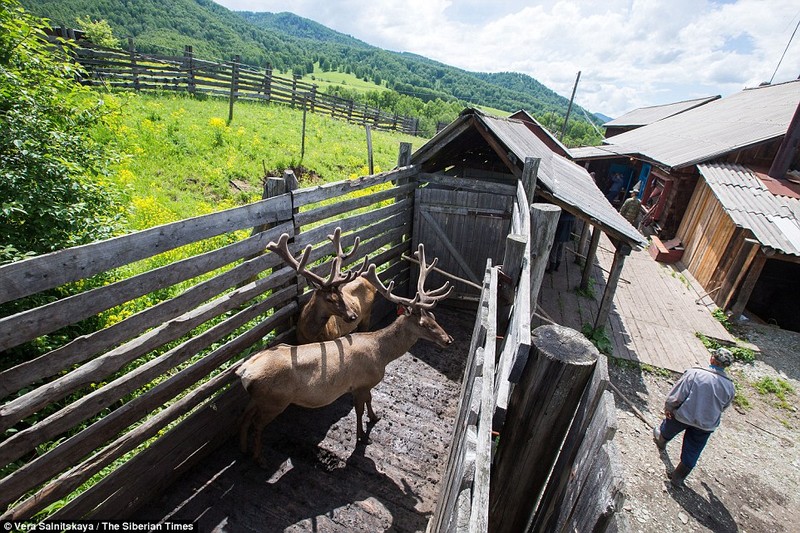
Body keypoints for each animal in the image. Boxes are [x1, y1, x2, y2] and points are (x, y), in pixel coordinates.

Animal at [234, 243, 454, 460]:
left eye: (433, 316)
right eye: (423, 324)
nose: (448, 340)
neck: (381, 354)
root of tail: (244, 372)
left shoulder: (365, 385)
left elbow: (370, 401)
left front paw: (375, 417)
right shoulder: (360, 383)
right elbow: (358, 411)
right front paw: (362, 437)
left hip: (258, 398)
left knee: (244, 418)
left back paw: (243, 449)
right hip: (275, 401)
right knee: (257, 424)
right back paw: (258, 459)